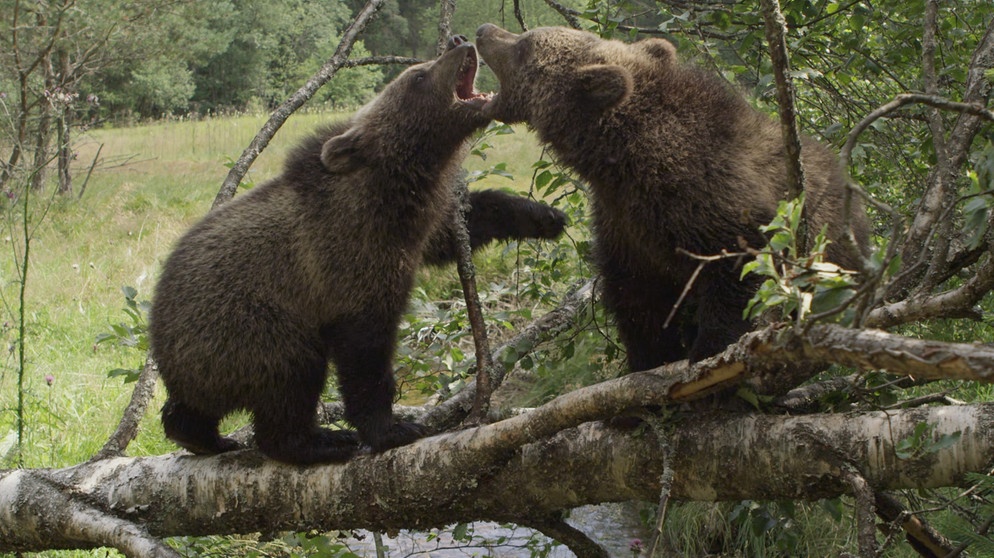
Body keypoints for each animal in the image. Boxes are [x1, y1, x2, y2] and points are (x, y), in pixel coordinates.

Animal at [149, 39, 564, 466]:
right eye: (417, 76)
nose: (459, 42)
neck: (393, 187)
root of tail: (158, 334)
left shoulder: (413, 227)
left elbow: (456, 229)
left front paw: (542, 216)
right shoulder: (351, 258)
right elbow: (364, 352)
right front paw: (391, 428)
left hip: (208, 360)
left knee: (194, 406)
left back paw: (202, 436)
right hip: (246, 324)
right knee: (292, 374)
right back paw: (318, 441)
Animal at [474, 23, 868, 372]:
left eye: (524, 45)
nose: (483, 30)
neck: (620, 159)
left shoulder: (707, 195)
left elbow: (740, 265)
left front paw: (709, 349)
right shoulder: (625, 223)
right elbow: (637, 297)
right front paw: (649, 359)